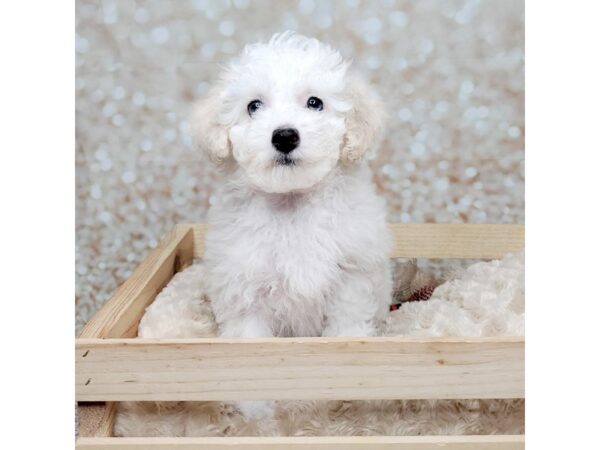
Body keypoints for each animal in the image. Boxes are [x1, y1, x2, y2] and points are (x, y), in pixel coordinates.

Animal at [190, 32, 392, 342]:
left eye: (315, 102)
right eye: (253, 106)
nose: (284, 136)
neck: (291, 201)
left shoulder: (353, 276)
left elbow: (347, 322)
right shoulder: (244, 286)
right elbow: (249, 334)